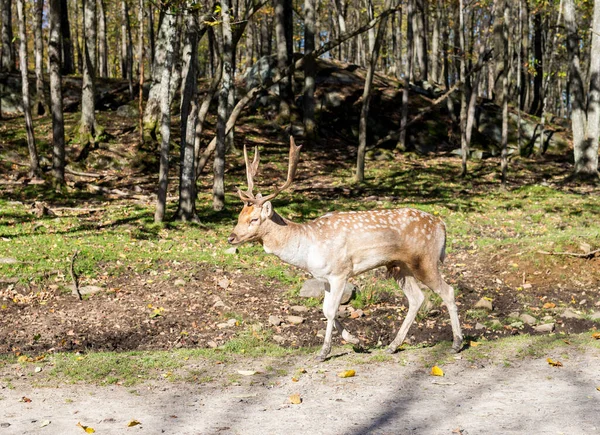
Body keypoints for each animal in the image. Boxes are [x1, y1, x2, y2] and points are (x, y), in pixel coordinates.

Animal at [227, 137, 462, 362]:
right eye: (239, 216)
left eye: (254, 219)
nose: (231, 237)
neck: (307, 248)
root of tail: (442, 225)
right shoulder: (324, 278)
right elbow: (324, 309)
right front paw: (357, 342)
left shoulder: (340, 272)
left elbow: (331, 311)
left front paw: (324, 352)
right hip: (399, 266)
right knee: (417, 298)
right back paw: (393, 346)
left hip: (425, 259)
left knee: (448, 291)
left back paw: (457, 343)